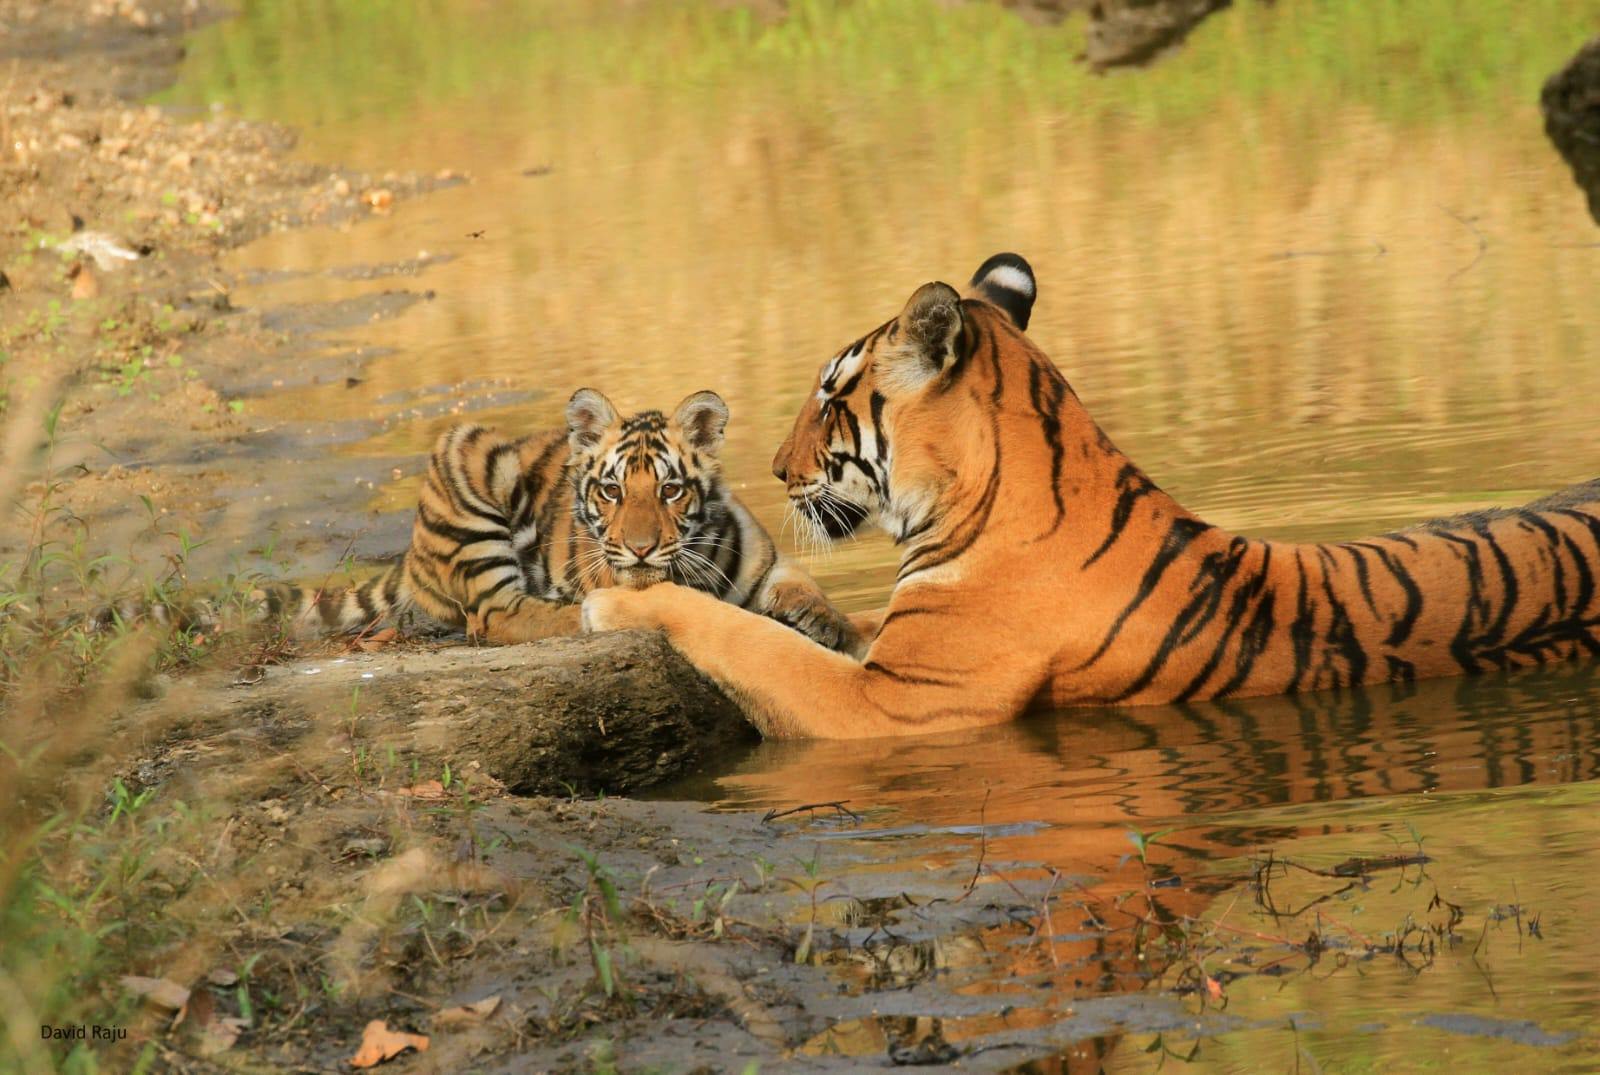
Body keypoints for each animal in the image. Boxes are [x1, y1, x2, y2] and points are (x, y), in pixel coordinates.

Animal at [262, 390, 864, 649]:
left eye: (669, 490)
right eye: (612, 491)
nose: (641, 548)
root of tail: (411, 557)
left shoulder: (766, 562)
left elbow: (804, 585)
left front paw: (823, 621)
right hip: (468, 453)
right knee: (500, 616)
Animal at [582, 254, 1600, 739]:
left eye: (832, 396)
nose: (777, 465)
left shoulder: (895, 704)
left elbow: (745, 640)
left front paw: (618, 596)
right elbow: (821, 624)